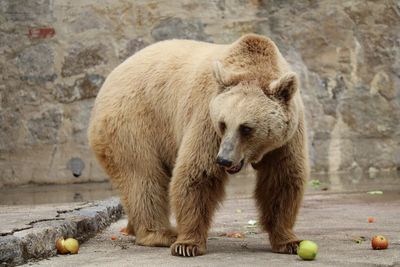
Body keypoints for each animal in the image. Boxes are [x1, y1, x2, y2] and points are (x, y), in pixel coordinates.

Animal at [88, 33, 310, 258]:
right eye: (223, 123)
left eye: (246, 128)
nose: (224, 159)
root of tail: (110, 79)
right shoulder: (206, 118)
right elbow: (198, 174)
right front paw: (187, 244)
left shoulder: (286, 139)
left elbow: (281, 180)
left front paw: (289, 241)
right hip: (135, 124)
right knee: (143, 177)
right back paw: (160, 234)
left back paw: (135, 228)